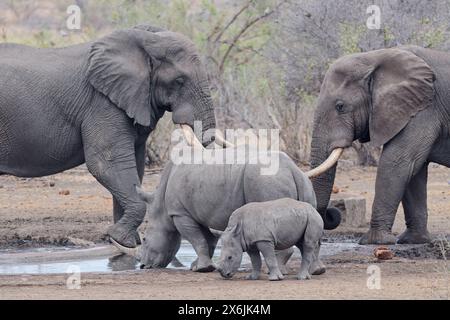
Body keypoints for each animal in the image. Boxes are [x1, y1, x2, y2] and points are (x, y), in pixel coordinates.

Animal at [310, 45, 450, 245]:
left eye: (340, 106)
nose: (333, 212)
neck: (374, 58)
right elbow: (413, 170)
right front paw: (413, 240)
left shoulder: (424, 110)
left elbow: (397, 162)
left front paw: (374, 241)